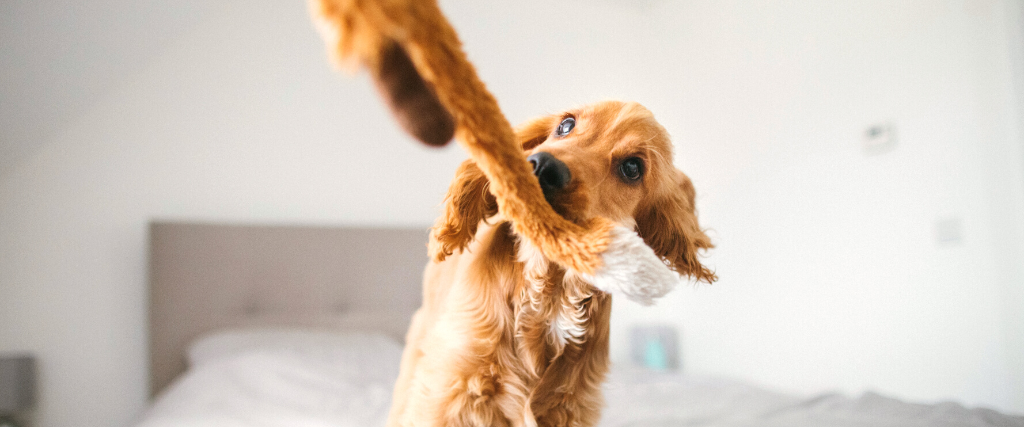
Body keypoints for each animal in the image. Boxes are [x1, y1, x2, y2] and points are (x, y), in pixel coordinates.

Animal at [385, 99, 712, 425]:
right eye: (566, 125)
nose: (543, 165)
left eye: (632, 168)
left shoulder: (568, 405)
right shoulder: (454, 387)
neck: (550, 293)